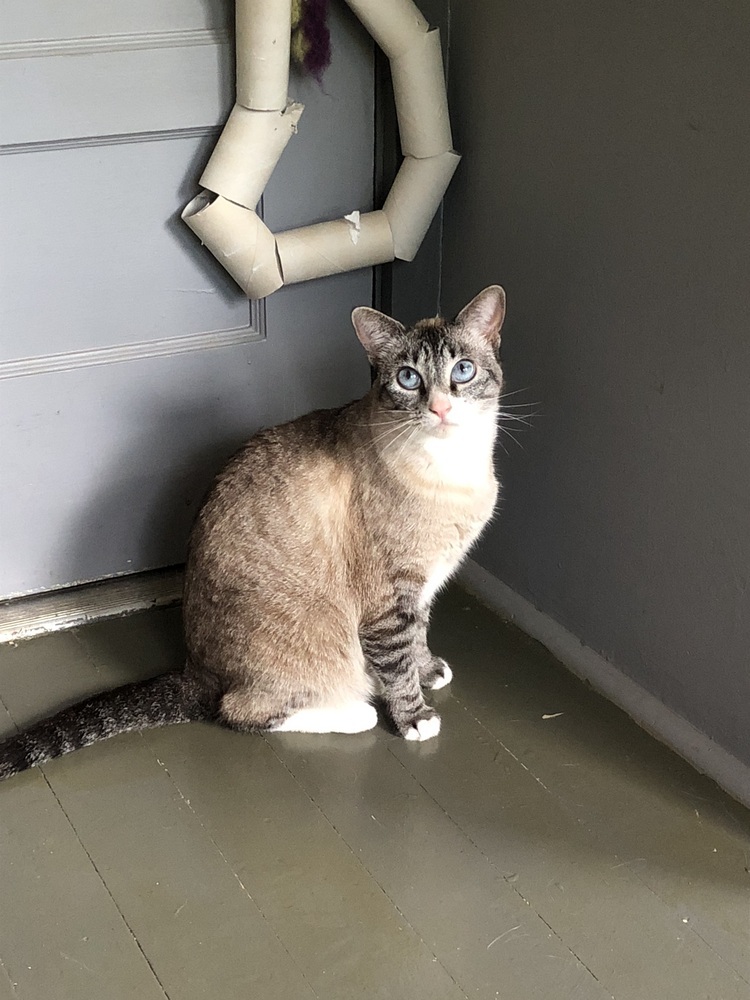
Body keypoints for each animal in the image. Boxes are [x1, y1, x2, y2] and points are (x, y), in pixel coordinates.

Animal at [0, 286, 508, 776]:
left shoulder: (420, 586)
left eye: (463, 371)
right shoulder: (389, 596)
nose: (440, 408)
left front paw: (429, 670)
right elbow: (397, 663)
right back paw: (356, 712)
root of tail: (195, 673)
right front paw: (415, 718)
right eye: (408, 378)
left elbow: (417, 637)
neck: (455, 473)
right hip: (312, 654)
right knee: (239, 711)